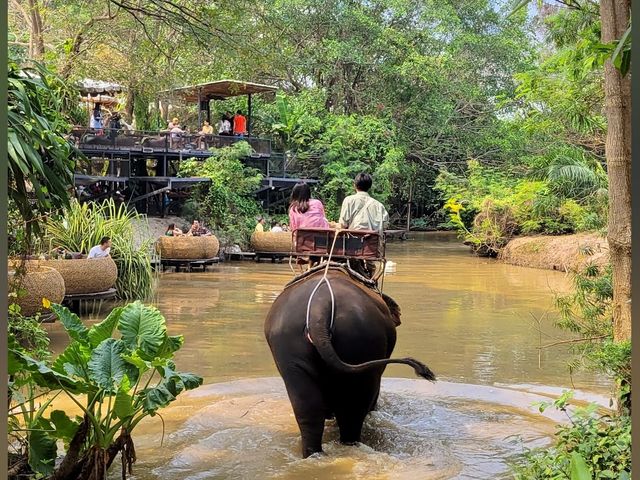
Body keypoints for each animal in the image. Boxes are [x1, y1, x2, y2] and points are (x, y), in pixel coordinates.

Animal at [264, 266, 436, 458]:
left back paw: (314, 453)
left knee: (307, 409)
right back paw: (349, 444)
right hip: (361, 341)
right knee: (353, 410)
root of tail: (319, 307)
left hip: (289, 346)